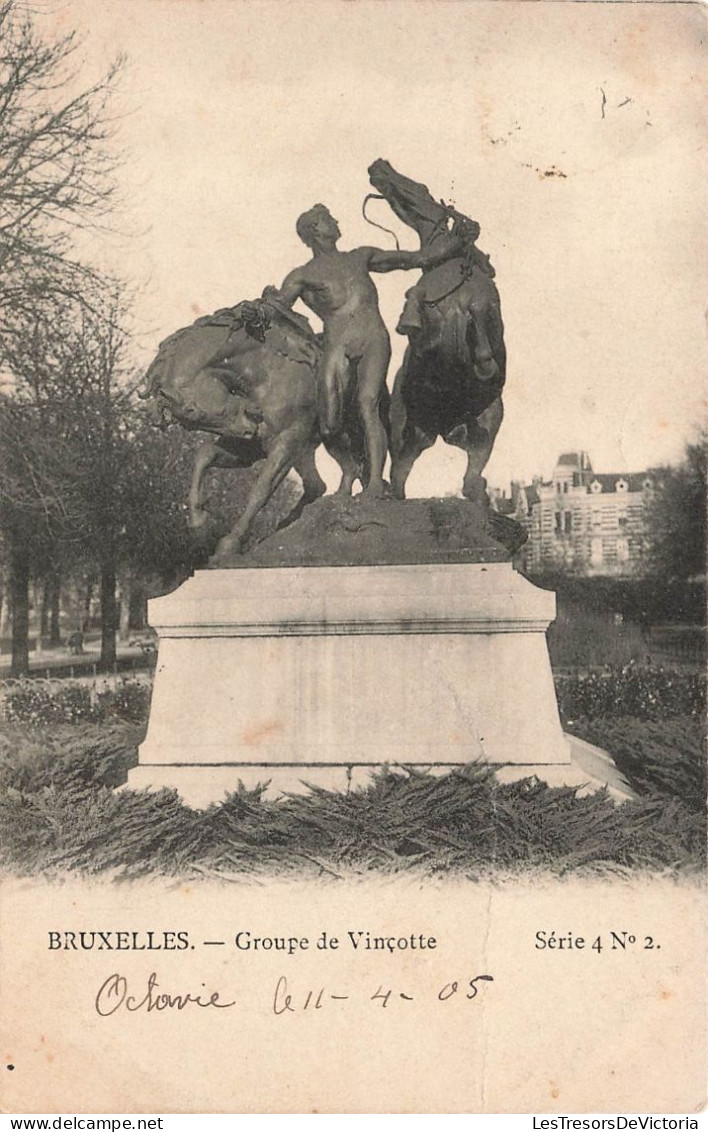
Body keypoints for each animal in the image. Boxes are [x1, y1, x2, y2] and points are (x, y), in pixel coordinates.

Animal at [367, 159, 505, 504]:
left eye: (423, 188)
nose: (380, 166)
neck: (454, 267)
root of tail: (444, 428)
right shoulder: (427, 342)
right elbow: (417, 303)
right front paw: (408, 317)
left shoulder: (489, 311)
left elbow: (479, 311)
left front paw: (486, 362)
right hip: (404, 432)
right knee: (399, 476)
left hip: (491, 416)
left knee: (471, 475)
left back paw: (478, 491)